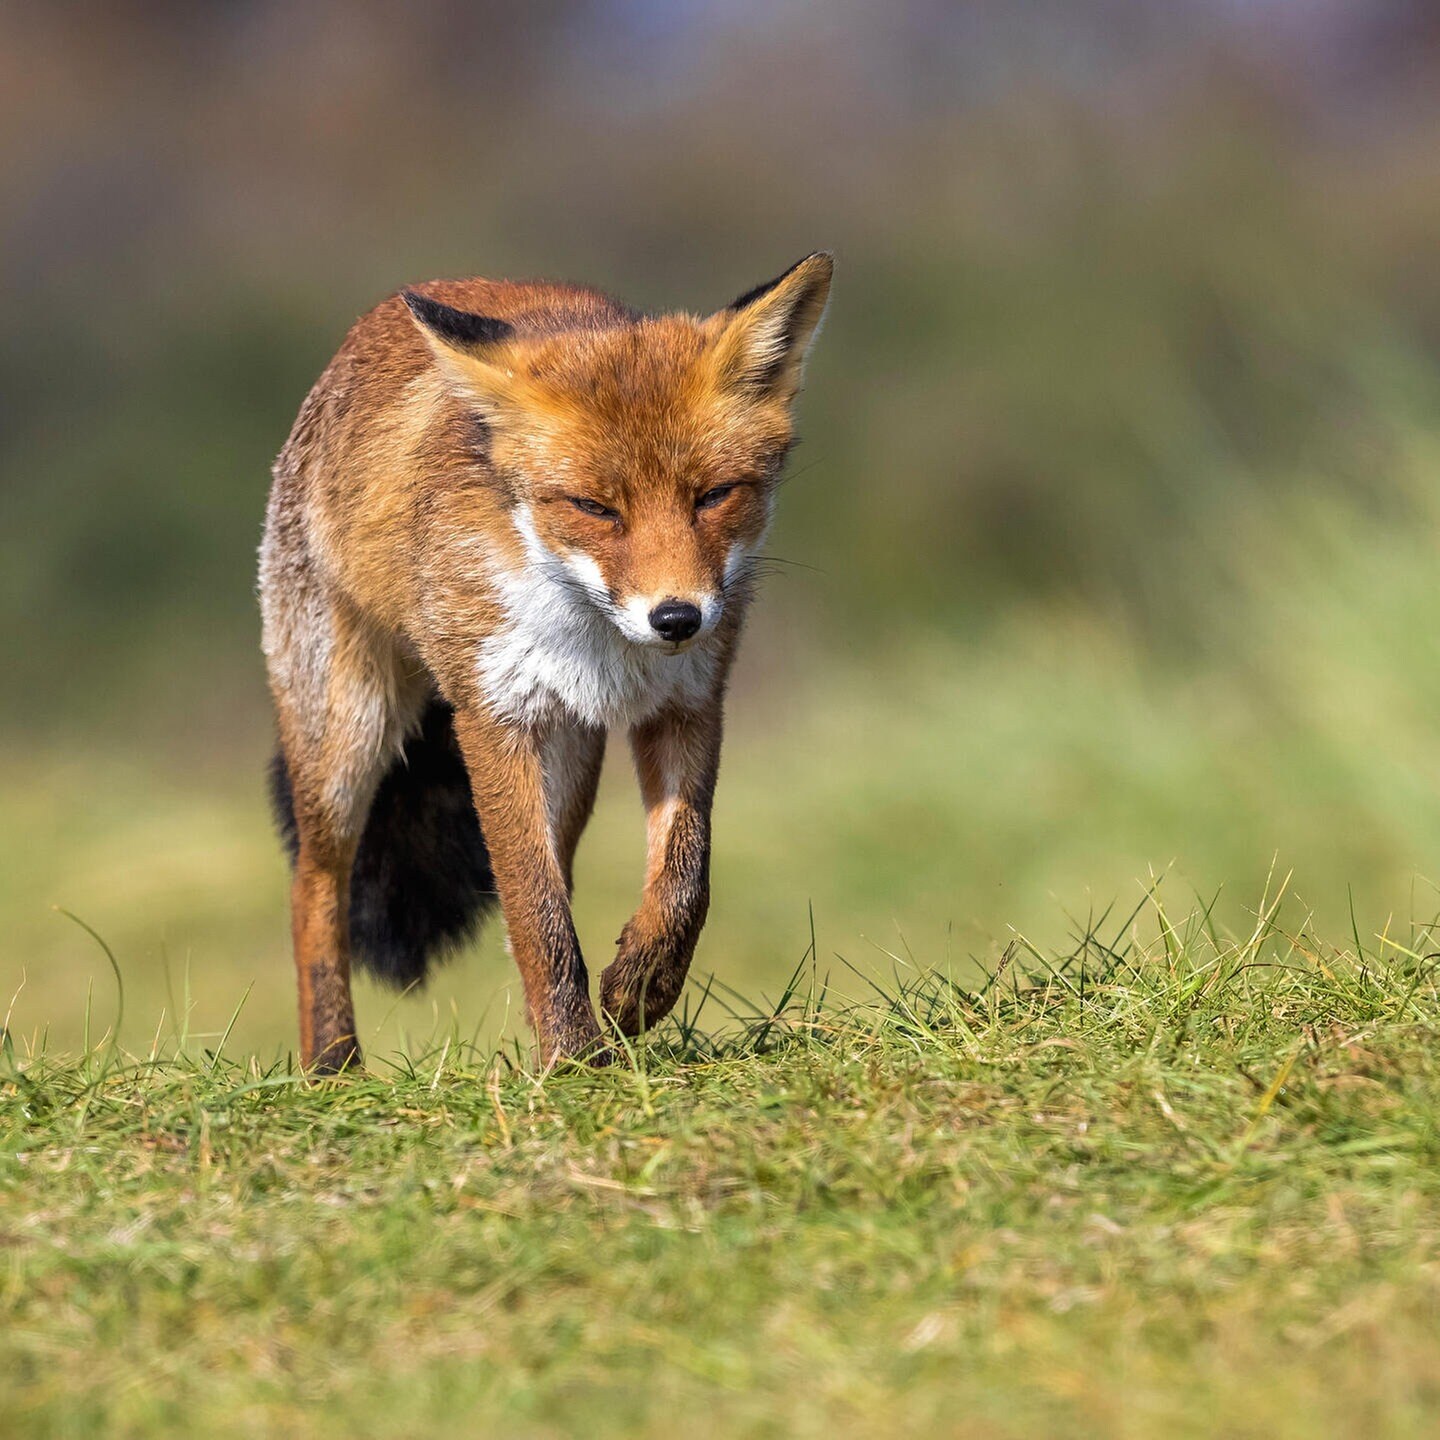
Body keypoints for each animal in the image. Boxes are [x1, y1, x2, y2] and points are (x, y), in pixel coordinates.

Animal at [260, 252, 833, 1072]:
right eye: (596, 508)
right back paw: (334, 1065)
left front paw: (640, 988)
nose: (677, 618)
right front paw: (573, 1057)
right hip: (346, 741)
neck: (604, 642)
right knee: (315, 885)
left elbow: (682, 879)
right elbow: (537, 912)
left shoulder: (688, 704)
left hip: (572, 756)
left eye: (714, 496)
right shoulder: (494, 718)